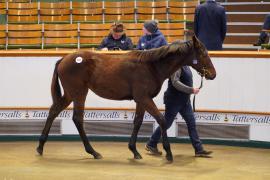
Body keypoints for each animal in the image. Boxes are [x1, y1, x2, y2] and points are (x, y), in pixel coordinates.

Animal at [37, 35, 216, 162]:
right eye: (203, 53)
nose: (213, 74)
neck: (151, 66)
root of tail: (64, 59)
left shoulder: (141, 100)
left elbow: (137, 121)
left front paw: (134, 150)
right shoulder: (144, 98)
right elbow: (161, 119)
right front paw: (168, 153)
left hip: (70, 94)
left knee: (54, 111)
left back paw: (40, 147)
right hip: (79, 93)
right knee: (77, 118)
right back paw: (93, 152)